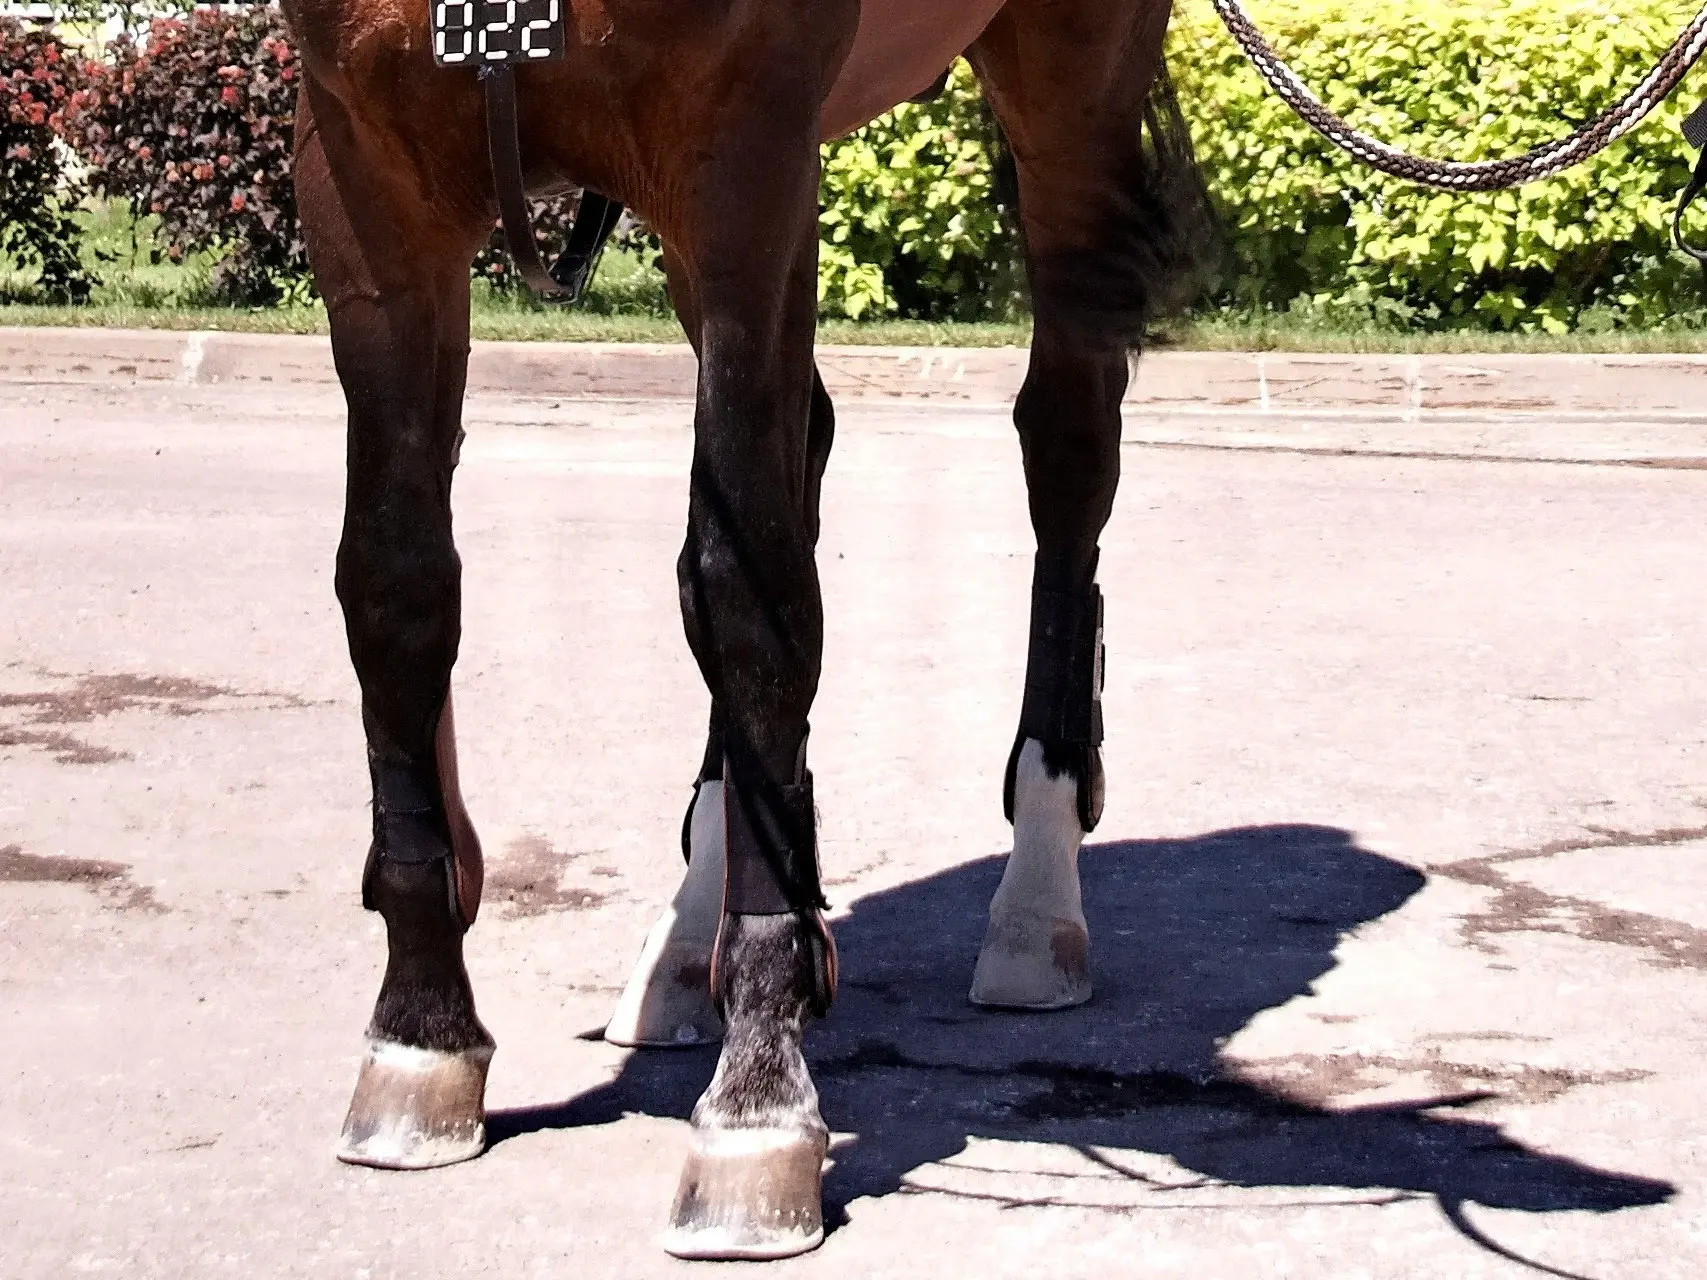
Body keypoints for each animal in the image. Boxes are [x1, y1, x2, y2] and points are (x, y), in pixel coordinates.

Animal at [283, 0, 1215, 1262]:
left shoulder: (743, 160)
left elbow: (753, 599)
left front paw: (758, 1098)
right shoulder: (367, 176)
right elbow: (396, 584)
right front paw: (420, 1030)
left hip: (1071, 81)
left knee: (1068, 441)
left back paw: (1037, 891)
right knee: (798, 448)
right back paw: (688, 940)